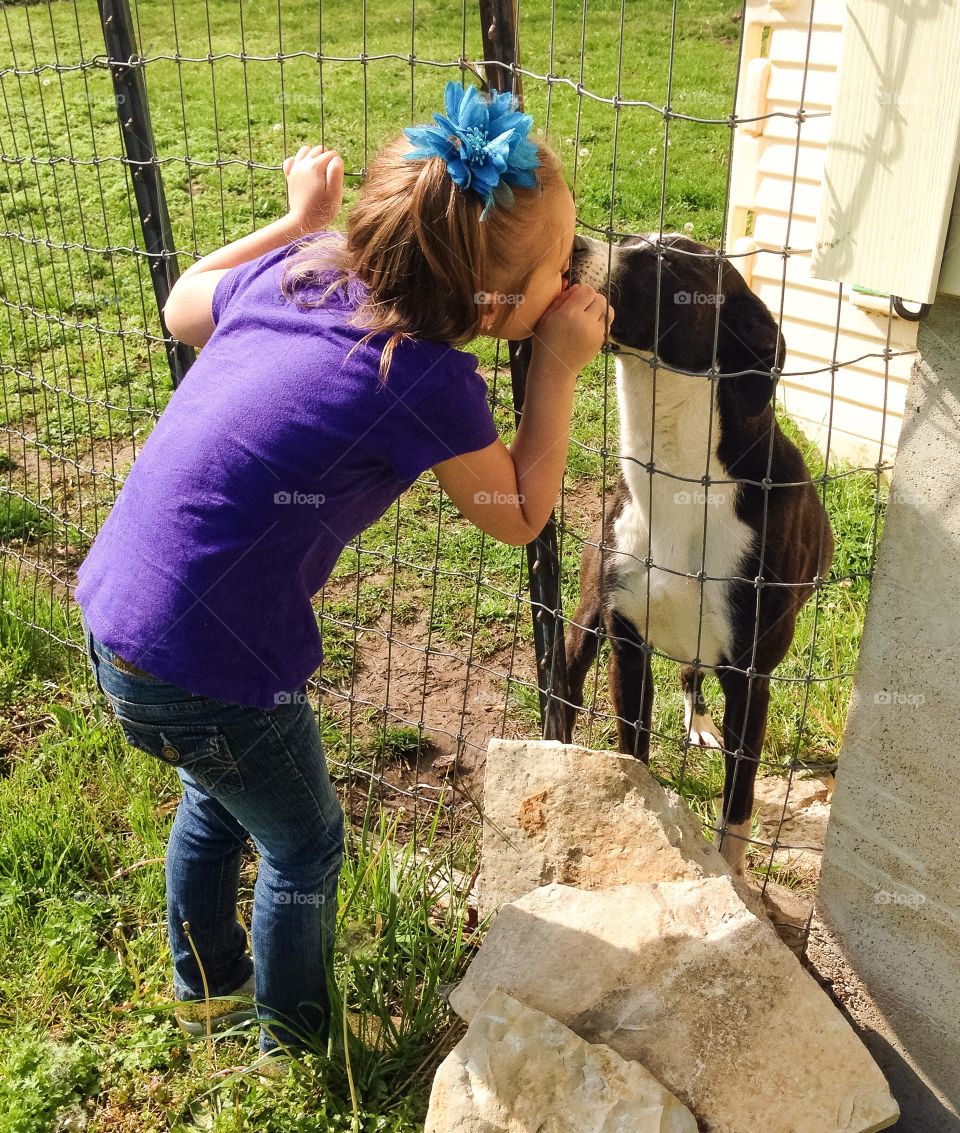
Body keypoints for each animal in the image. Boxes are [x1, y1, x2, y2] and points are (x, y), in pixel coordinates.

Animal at [562, 232, 834, 874]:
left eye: (671, 265)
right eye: (626, 238)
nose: (573, 243)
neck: (679, 475)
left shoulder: (750, 678)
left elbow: (739, 797)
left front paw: (728, 871)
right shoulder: (626, 645)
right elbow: (632, 757)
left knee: (693, 673)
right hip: (585, 621)